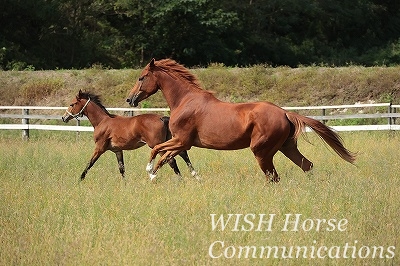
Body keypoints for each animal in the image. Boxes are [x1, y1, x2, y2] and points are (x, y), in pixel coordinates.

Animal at [62, 90, 197, 181]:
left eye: (72, 104)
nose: (64, 117)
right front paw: (125, 184)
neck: (102, 121)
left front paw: (80, 179)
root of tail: (162, 118)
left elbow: (89, 163)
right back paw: (194, 176)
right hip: (171, 142)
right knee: (182, 155)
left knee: (171, 160)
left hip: (157, 145)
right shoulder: (117, 150)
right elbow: (121, 168)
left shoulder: (99, 148)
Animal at [126, 59, 356, 182]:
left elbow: (158, 151)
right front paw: (156, 174)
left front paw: (150, 173)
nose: (130, 99)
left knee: (274, 176)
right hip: (286, 147)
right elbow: (165, 156)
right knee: (306, 165)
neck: (185, 100)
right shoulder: (181, 143)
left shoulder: (182, 140)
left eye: (141, 77)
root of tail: (285, 113)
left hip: (262, 151)